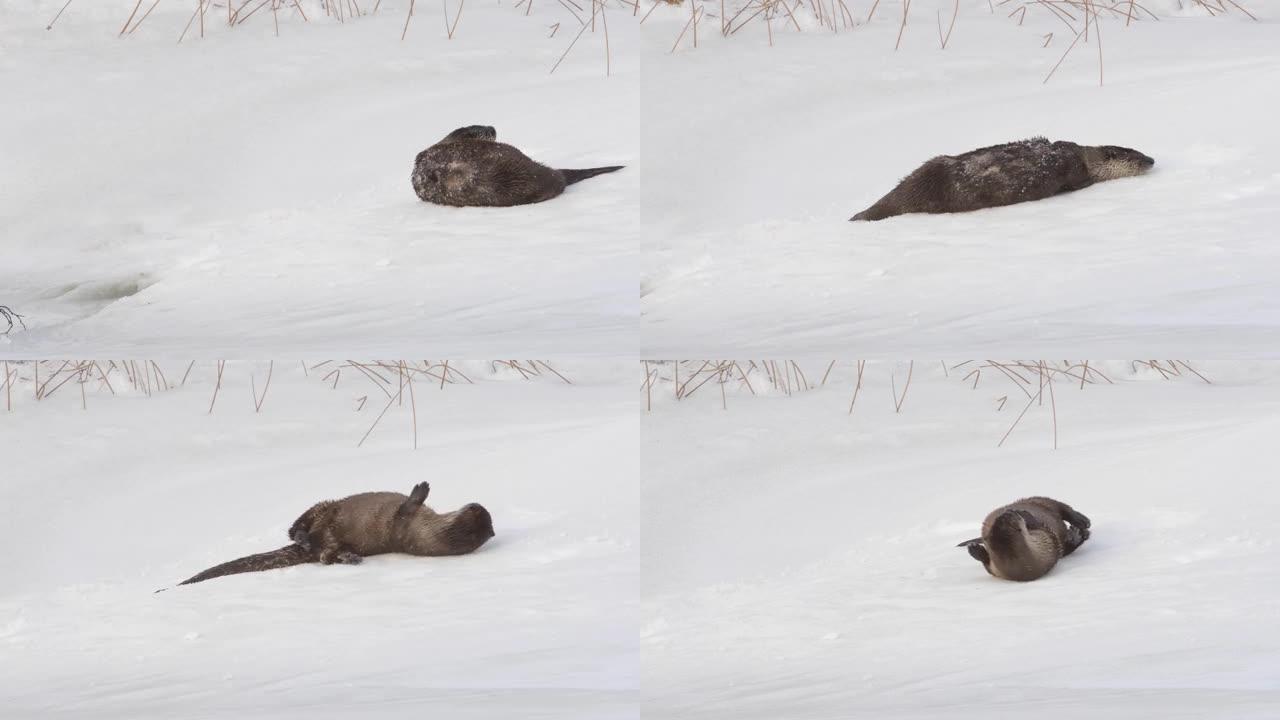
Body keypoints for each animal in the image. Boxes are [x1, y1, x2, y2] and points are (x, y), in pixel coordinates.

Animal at [165, 481, 494, 589]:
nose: (477, 504)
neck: (424, 528)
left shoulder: (405, 519)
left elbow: (407, 505)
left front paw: (421, 489)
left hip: (324, 516)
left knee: (319, 551)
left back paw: (340, 554)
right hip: (323, 508)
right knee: (301, 531)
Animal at [962, 497, 1090, 579]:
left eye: (997, 520)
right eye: (1012, 517)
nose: (1010, 510)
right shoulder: (1051, 540)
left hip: (1038, 502)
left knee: (1061, 507)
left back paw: (1081, 520)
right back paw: (1080, 531)